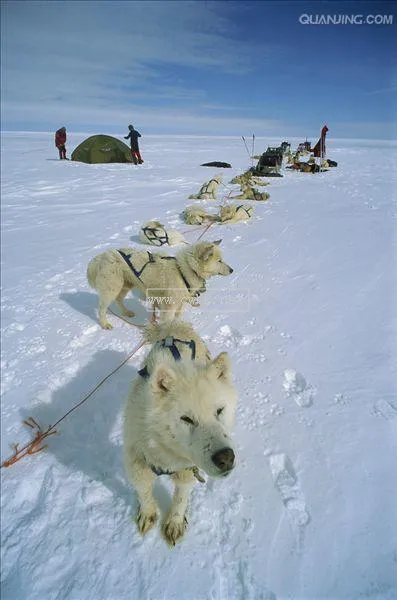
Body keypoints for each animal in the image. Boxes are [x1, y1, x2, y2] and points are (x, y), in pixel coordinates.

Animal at [86, 241, 232, 330]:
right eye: (219, 261)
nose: (232, 270)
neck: (184, 270)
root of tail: (103, 255)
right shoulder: (169, 306)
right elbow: (168, 322)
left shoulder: (179, 304)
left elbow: (177, 319)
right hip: (111, 289)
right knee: (102, 308)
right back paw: (105, 324)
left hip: (125, 285)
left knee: (118, 300)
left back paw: (127, 312)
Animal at [122, 322, 237, 548]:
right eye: (187, 419)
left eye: (219, 410)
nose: (226, 458)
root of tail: (174, 327)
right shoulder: (136, 462)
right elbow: (144, 491)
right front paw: (147, 514)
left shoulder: (187, 470)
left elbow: (181, 498)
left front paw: (174, 522)